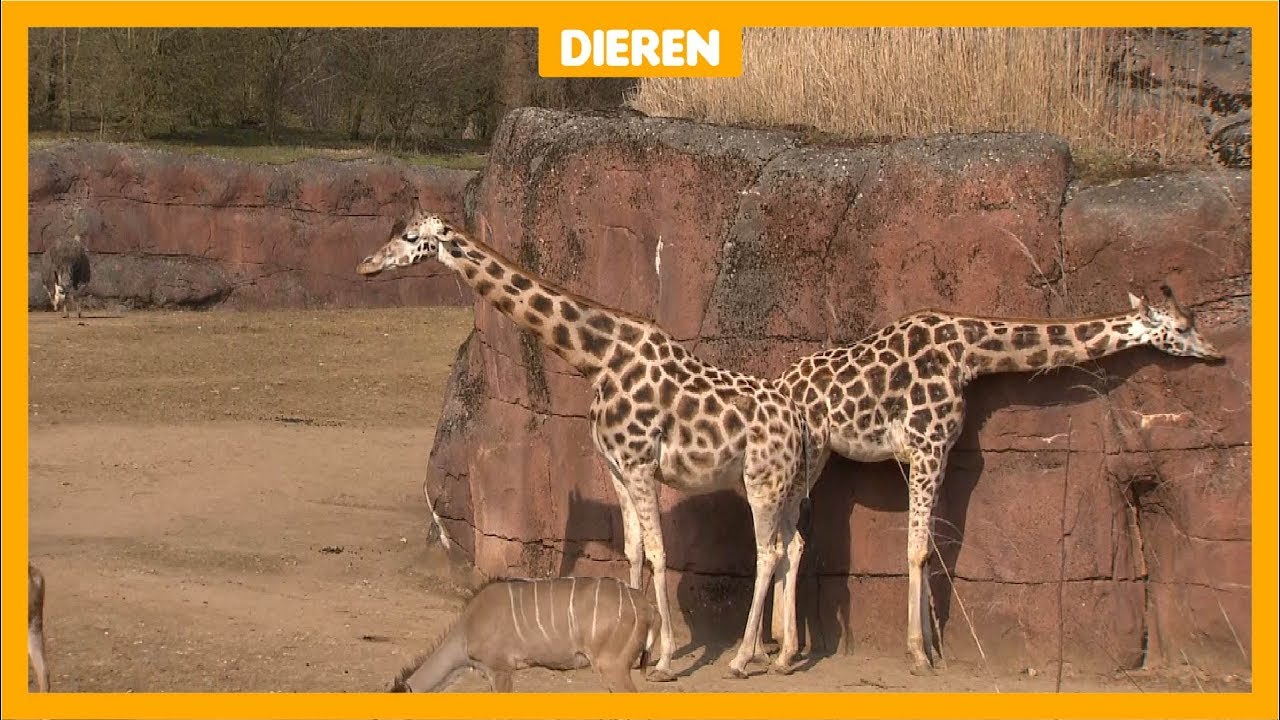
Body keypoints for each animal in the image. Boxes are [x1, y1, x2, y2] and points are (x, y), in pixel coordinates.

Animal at [356, 210, 819, 680]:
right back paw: (782, 655)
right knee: (793, 545)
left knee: (767, 552)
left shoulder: (639, 464)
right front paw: (639, 649)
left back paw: (743, 658)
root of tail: (799, 421)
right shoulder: (616, 467)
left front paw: (664, 659)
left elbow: (658, 552)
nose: (366, 265)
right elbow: (634, 550)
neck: (598, 360)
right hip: (781, 485)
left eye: (410, 236)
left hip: (763, 483)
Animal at [776, 284, 1223, 674]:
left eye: (1192, 321)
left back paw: (776, 643)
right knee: (792, 540)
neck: (966, 353)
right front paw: (918, 654)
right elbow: (917, 550)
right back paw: (784, 652)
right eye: (1182, 327)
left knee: (783, 539)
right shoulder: (926, 445)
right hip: (809, 453)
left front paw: (933, 651)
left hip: (816, 456)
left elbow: (930, 549)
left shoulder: (940, 452)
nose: (1216, 354)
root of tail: (781, 382)